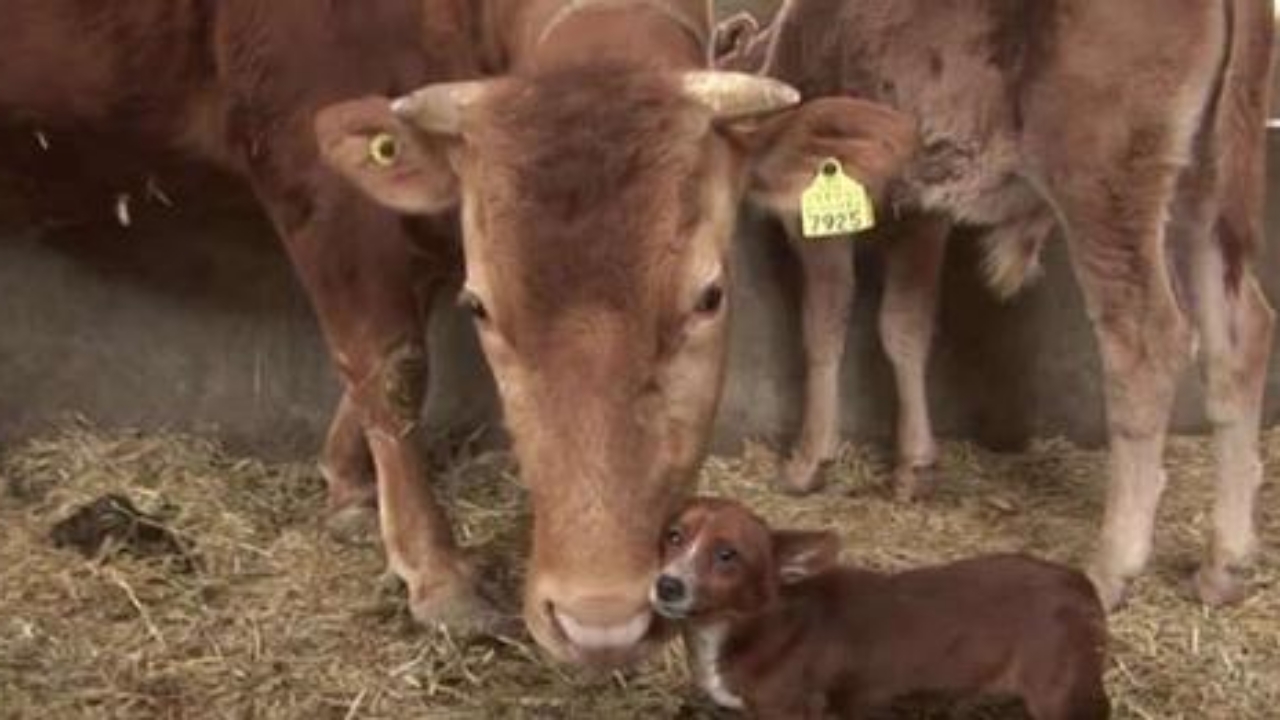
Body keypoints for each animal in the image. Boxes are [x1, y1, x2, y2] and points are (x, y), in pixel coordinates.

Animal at [0, 0, 921, 661]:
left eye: (709, 296)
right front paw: (433, 572)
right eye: (484, 308)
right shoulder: (314, 165)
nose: (599, 621)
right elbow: (389, 360)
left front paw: (348, 484)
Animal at [655, 499, 1105, 717]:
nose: (667, 586)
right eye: (674, 536)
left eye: (727, 555)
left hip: (1062, 698)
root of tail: (1080, 584)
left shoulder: (788, 711)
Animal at [737, 0, 1274, 609]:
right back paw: (1223, 563)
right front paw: (914, 467)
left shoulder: (818, 205)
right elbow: (905, 325)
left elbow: (824, 322)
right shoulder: (924, 206)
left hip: (1103, 184)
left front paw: (807, 462)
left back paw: (1112, 565)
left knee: (1146, 342)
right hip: (1203, 187)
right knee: (1242, 333)